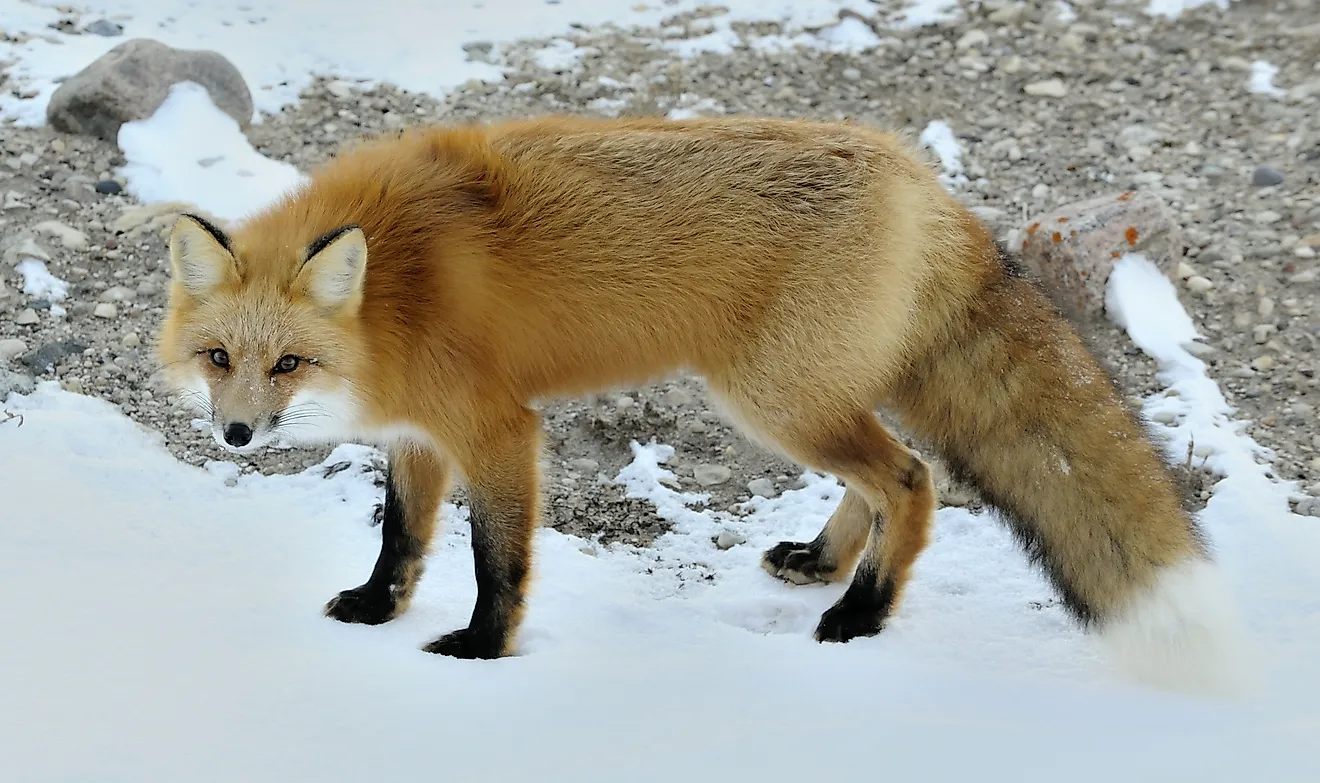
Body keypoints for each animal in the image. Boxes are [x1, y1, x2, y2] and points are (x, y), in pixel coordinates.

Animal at [154, 114, 1246, 691]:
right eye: (221, 358)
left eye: (288, 363)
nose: (237, 433)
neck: (395, 289)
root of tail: (920, 179)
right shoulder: (422, 432)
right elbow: (402, 538)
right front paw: (377, 610)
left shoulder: (497, 427)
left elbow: (497, 560)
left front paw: (481, 650)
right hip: (810, 395)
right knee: (892, 476)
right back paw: (823, 563)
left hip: (773, 399)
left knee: (912, 478)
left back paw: (863, 612)